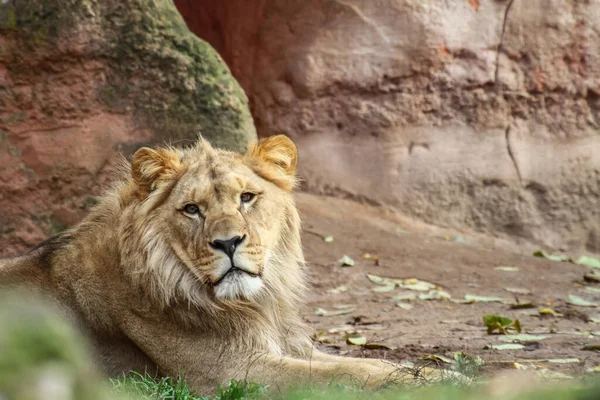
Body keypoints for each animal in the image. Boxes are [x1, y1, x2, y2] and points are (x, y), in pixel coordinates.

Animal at [0, 134, 460, 394]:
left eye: (246, 198)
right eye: (192, 209)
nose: (228, 242)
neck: (254, 304)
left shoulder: (290, 348)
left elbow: (367, 363)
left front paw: (437, 375)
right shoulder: (232, 373)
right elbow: (348, 376)